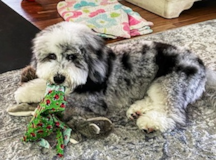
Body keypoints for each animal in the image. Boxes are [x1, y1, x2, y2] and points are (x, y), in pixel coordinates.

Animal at [13, 21, 216, 134]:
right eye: (51, 56)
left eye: (72, 57)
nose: (58, 78)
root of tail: (203, 68)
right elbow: (43, 86)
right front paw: (24, 92)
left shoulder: (96, 102)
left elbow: (69, 102)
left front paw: (41, 111)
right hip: (157, 85)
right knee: (153, 100)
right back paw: (137, 110)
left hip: (169, 83)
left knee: (172, 113)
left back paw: (150, 122)